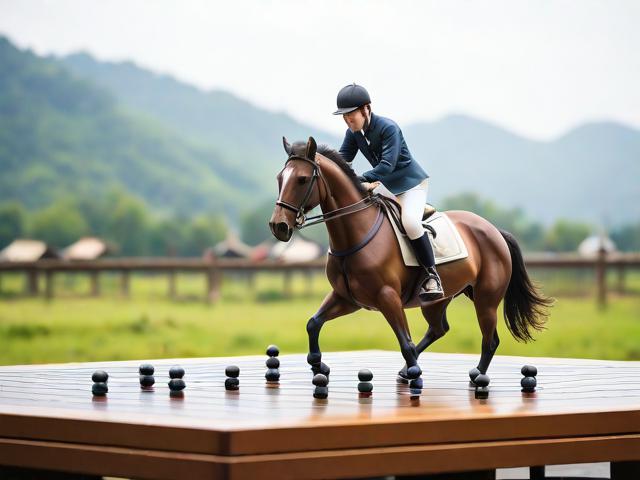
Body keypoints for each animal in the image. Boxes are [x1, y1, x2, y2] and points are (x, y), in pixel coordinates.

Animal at [269, 136, 552, 387]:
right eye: (280, 178)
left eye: (303, 179)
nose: (278, 226)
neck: (355, 233)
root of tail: (494, 230)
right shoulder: (347, 298)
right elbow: (313, 323)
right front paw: (319, 365)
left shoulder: (387, 297)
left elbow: (404, 341)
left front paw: (415, 374)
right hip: (439, 299)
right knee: (438, 329)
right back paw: (407, 370)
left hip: (486, 298)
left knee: (489, 339)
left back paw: (476, 376)